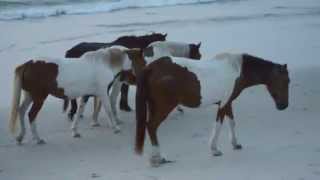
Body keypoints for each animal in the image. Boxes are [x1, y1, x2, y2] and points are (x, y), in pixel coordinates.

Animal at [132, 52, 290, 167]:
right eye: (286, 80)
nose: (284, 106)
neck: (237, 69)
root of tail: (152, 67)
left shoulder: (227, 102)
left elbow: (232, 122)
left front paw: (235, 143)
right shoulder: (223, 104)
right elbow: (218, 124)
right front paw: (214, 149)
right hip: (165, 106)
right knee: (152, 126)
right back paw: (158, 158)